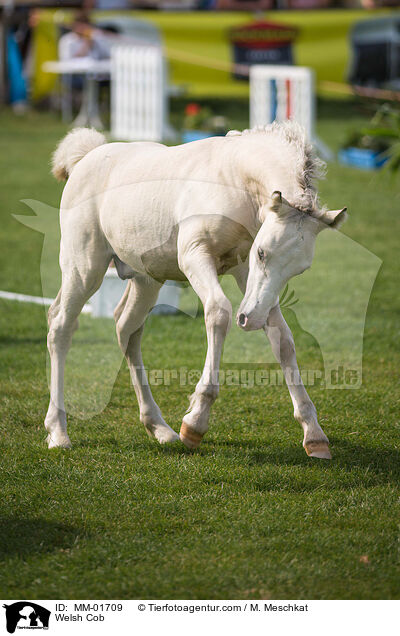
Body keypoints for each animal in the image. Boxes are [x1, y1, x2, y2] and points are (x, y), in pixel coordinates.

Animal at [45, 121, 346, 458]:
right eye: (262, 253)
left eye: (300, 269)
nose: (250, 320)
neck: (235, 180)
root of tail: (86, 158)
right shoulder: (194, 256)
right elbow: (219, 312)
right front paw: (195, 423)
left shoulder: (245, 274)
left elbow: (283, 339)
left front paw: (314, 435)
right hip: (84, 267)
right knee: (61, 325)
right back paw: (58, 432)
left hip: (146, 279)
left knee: (126, 327)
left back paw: (159, 427)